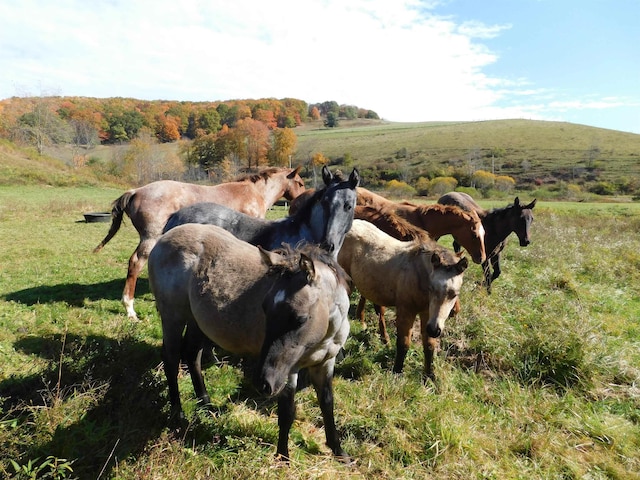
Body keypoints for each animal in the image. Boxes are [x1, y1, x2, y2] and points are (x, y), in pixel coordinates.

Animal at [92, 165, 308, 318]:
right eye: (300, 183)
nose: (300, 203)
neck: (252, 193)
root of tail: (135, 191)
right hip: (149, 238)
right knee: (135, 263)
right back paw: (130, 309)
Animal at [148, 225, 352, 462]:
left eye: (300, 319)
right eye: (264, 309)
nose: (263, 383)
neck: (323, 336)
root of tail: (163, 239)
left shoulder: (325, 363)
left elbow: (327, 404)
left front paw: (339, 452)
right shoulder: (288, 370)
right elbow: (287, 412)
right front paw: (282, 458)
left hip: (196, 320)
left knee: (191, 354)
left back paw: (206, 404)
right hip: (173, 317)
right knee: (171, 359)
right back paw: (178, 413)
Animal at [338, 220, 468, 382]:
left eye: (455, 294)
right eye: (431, 288)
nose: (434, 329)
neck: (418, 274)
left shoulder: (426, 313)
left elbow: (429, 345)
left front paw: (429, 377)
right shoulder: (406, 311)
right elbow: (404, 343)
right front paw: (397, 373)